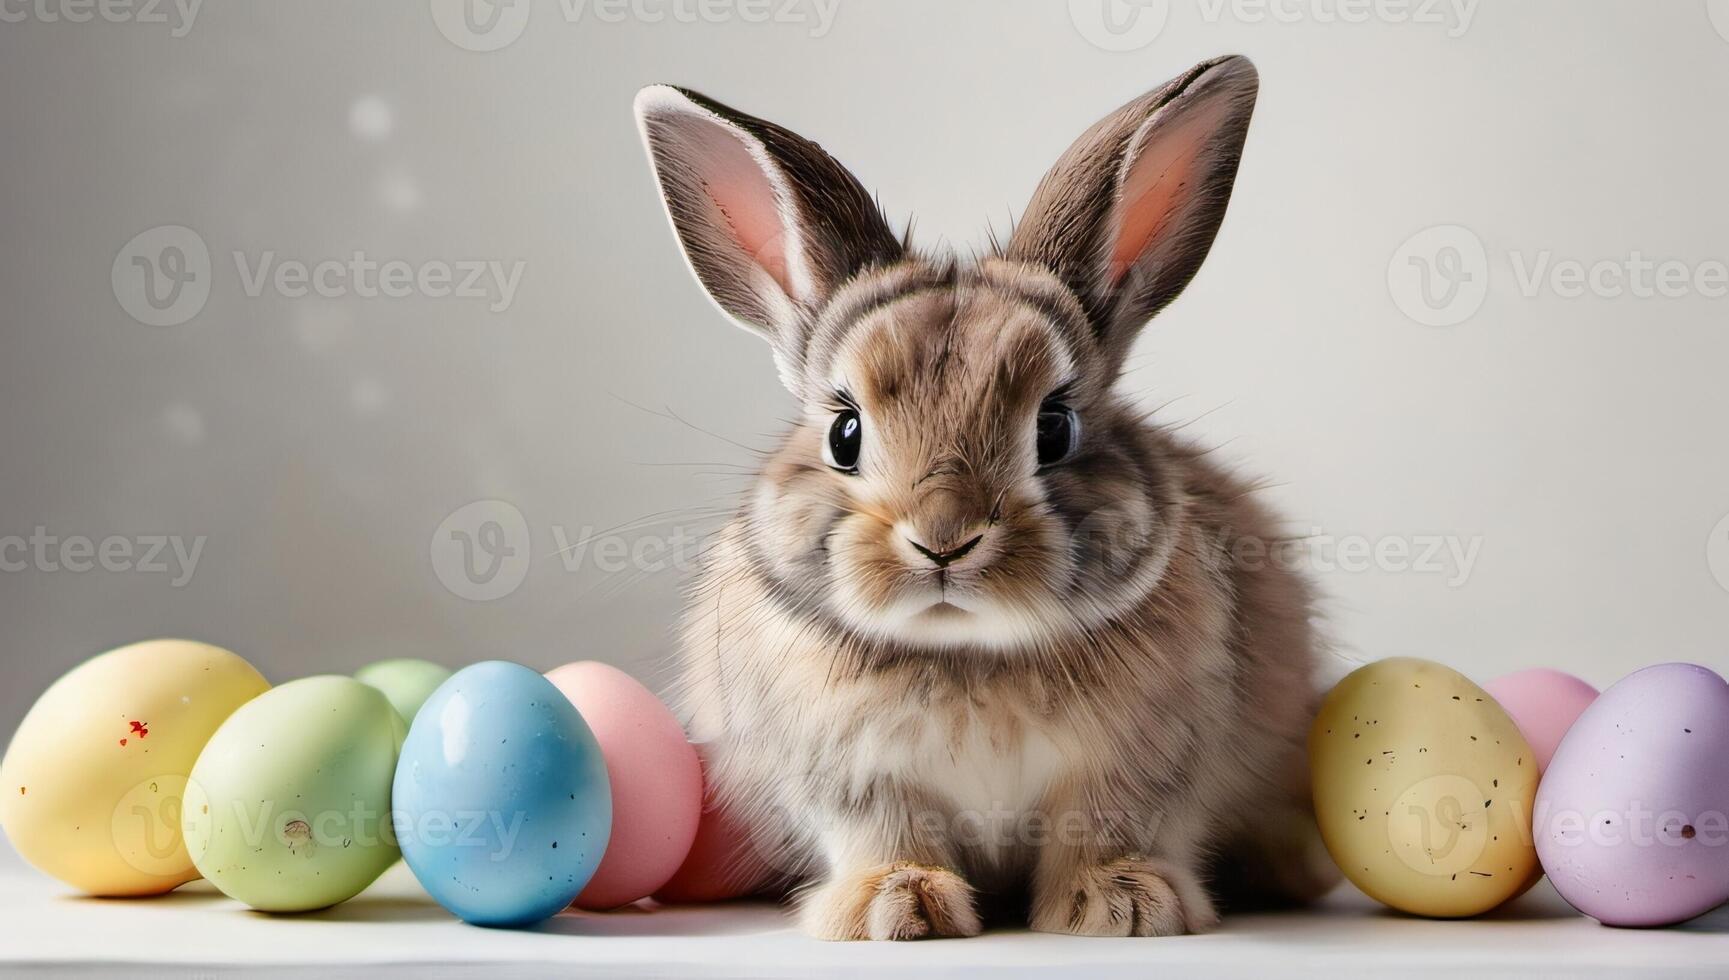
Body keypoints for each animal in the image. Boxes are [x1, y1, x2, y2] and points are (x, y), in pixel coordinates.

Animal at [636, 55, 1334, 940]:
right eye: (843, 433)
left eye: (1055, 428)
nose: (944, 538)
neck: (965, 649)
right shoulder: (856, 779)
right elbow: (886, 832)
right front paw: (895, 908)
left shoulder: (1136, 767)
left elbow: (1105, 823)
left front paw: (1121, 905)